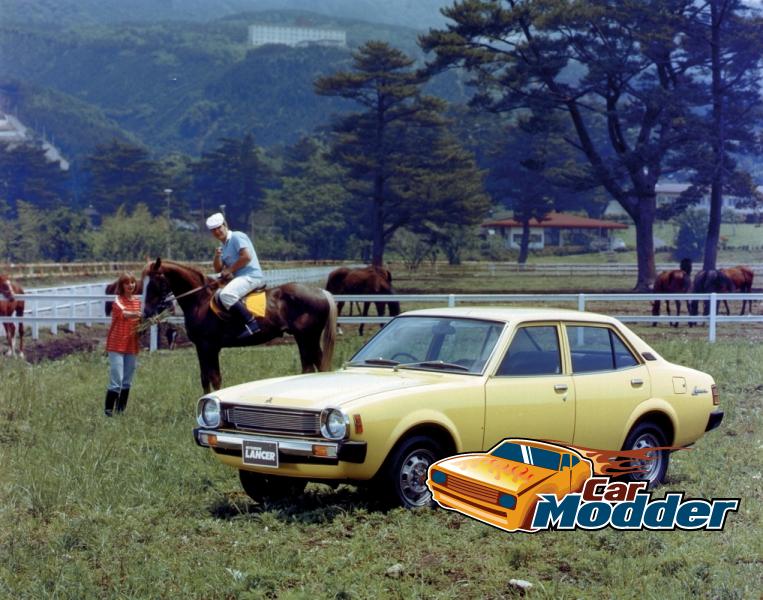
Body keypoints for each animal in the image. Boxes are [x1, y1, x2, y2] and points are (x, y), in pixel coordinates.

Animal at [143, 258, 334, 394]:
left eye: (154, 283)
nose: (147, 312)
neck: (200, 301)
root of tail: (320, 292)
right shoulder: (201, 347)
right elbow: (205, 378)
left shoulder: (209, 346)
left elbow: (214, 378)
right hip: (307, 339)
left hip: (306, 338)